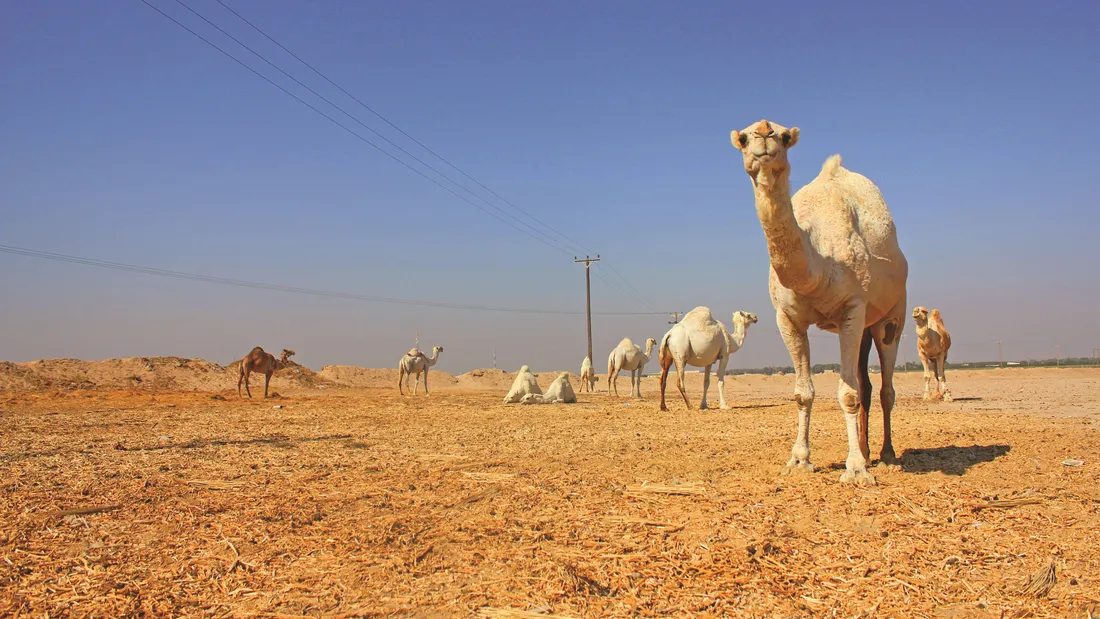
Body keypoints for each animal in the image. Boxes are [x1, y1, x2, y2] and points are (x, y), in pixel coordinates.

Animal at [731, 119, 909, 486]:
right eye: (742, 137)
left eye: (785, 137)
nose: (764, 132)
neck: (819, 265)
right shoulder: (787, 317)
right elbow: (803, 392)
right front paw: (799, 460)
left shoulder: (853, 308)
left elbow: (848, 393)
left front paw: (856, 470)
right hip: (866, 327)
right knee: (867, 383)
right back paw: (868, 451)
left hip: (892, 314)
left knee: (885, 386)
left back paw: (886, 455)